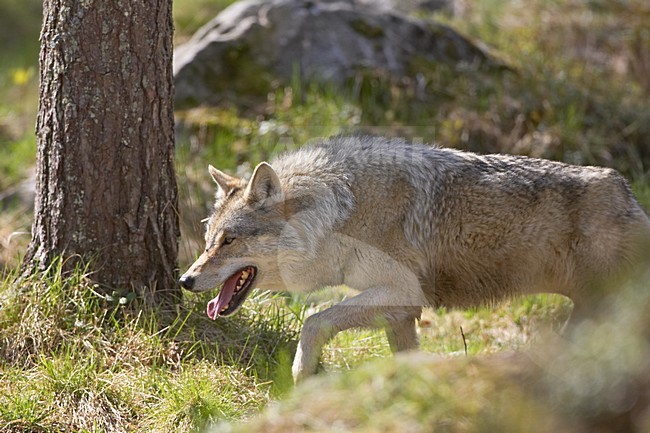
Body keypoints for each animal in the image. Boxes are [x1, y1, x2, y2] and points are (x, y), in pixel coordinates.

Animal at [178, 136, 648, 382]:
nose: (185, 280)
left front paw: (301, 376)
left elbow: (313, 321)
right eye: (208, 241)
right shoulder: (400, 313)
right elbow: (405, 359)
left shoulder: (401, 292)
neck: (343, 212)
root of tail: (628, 193)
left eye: (229, 241)